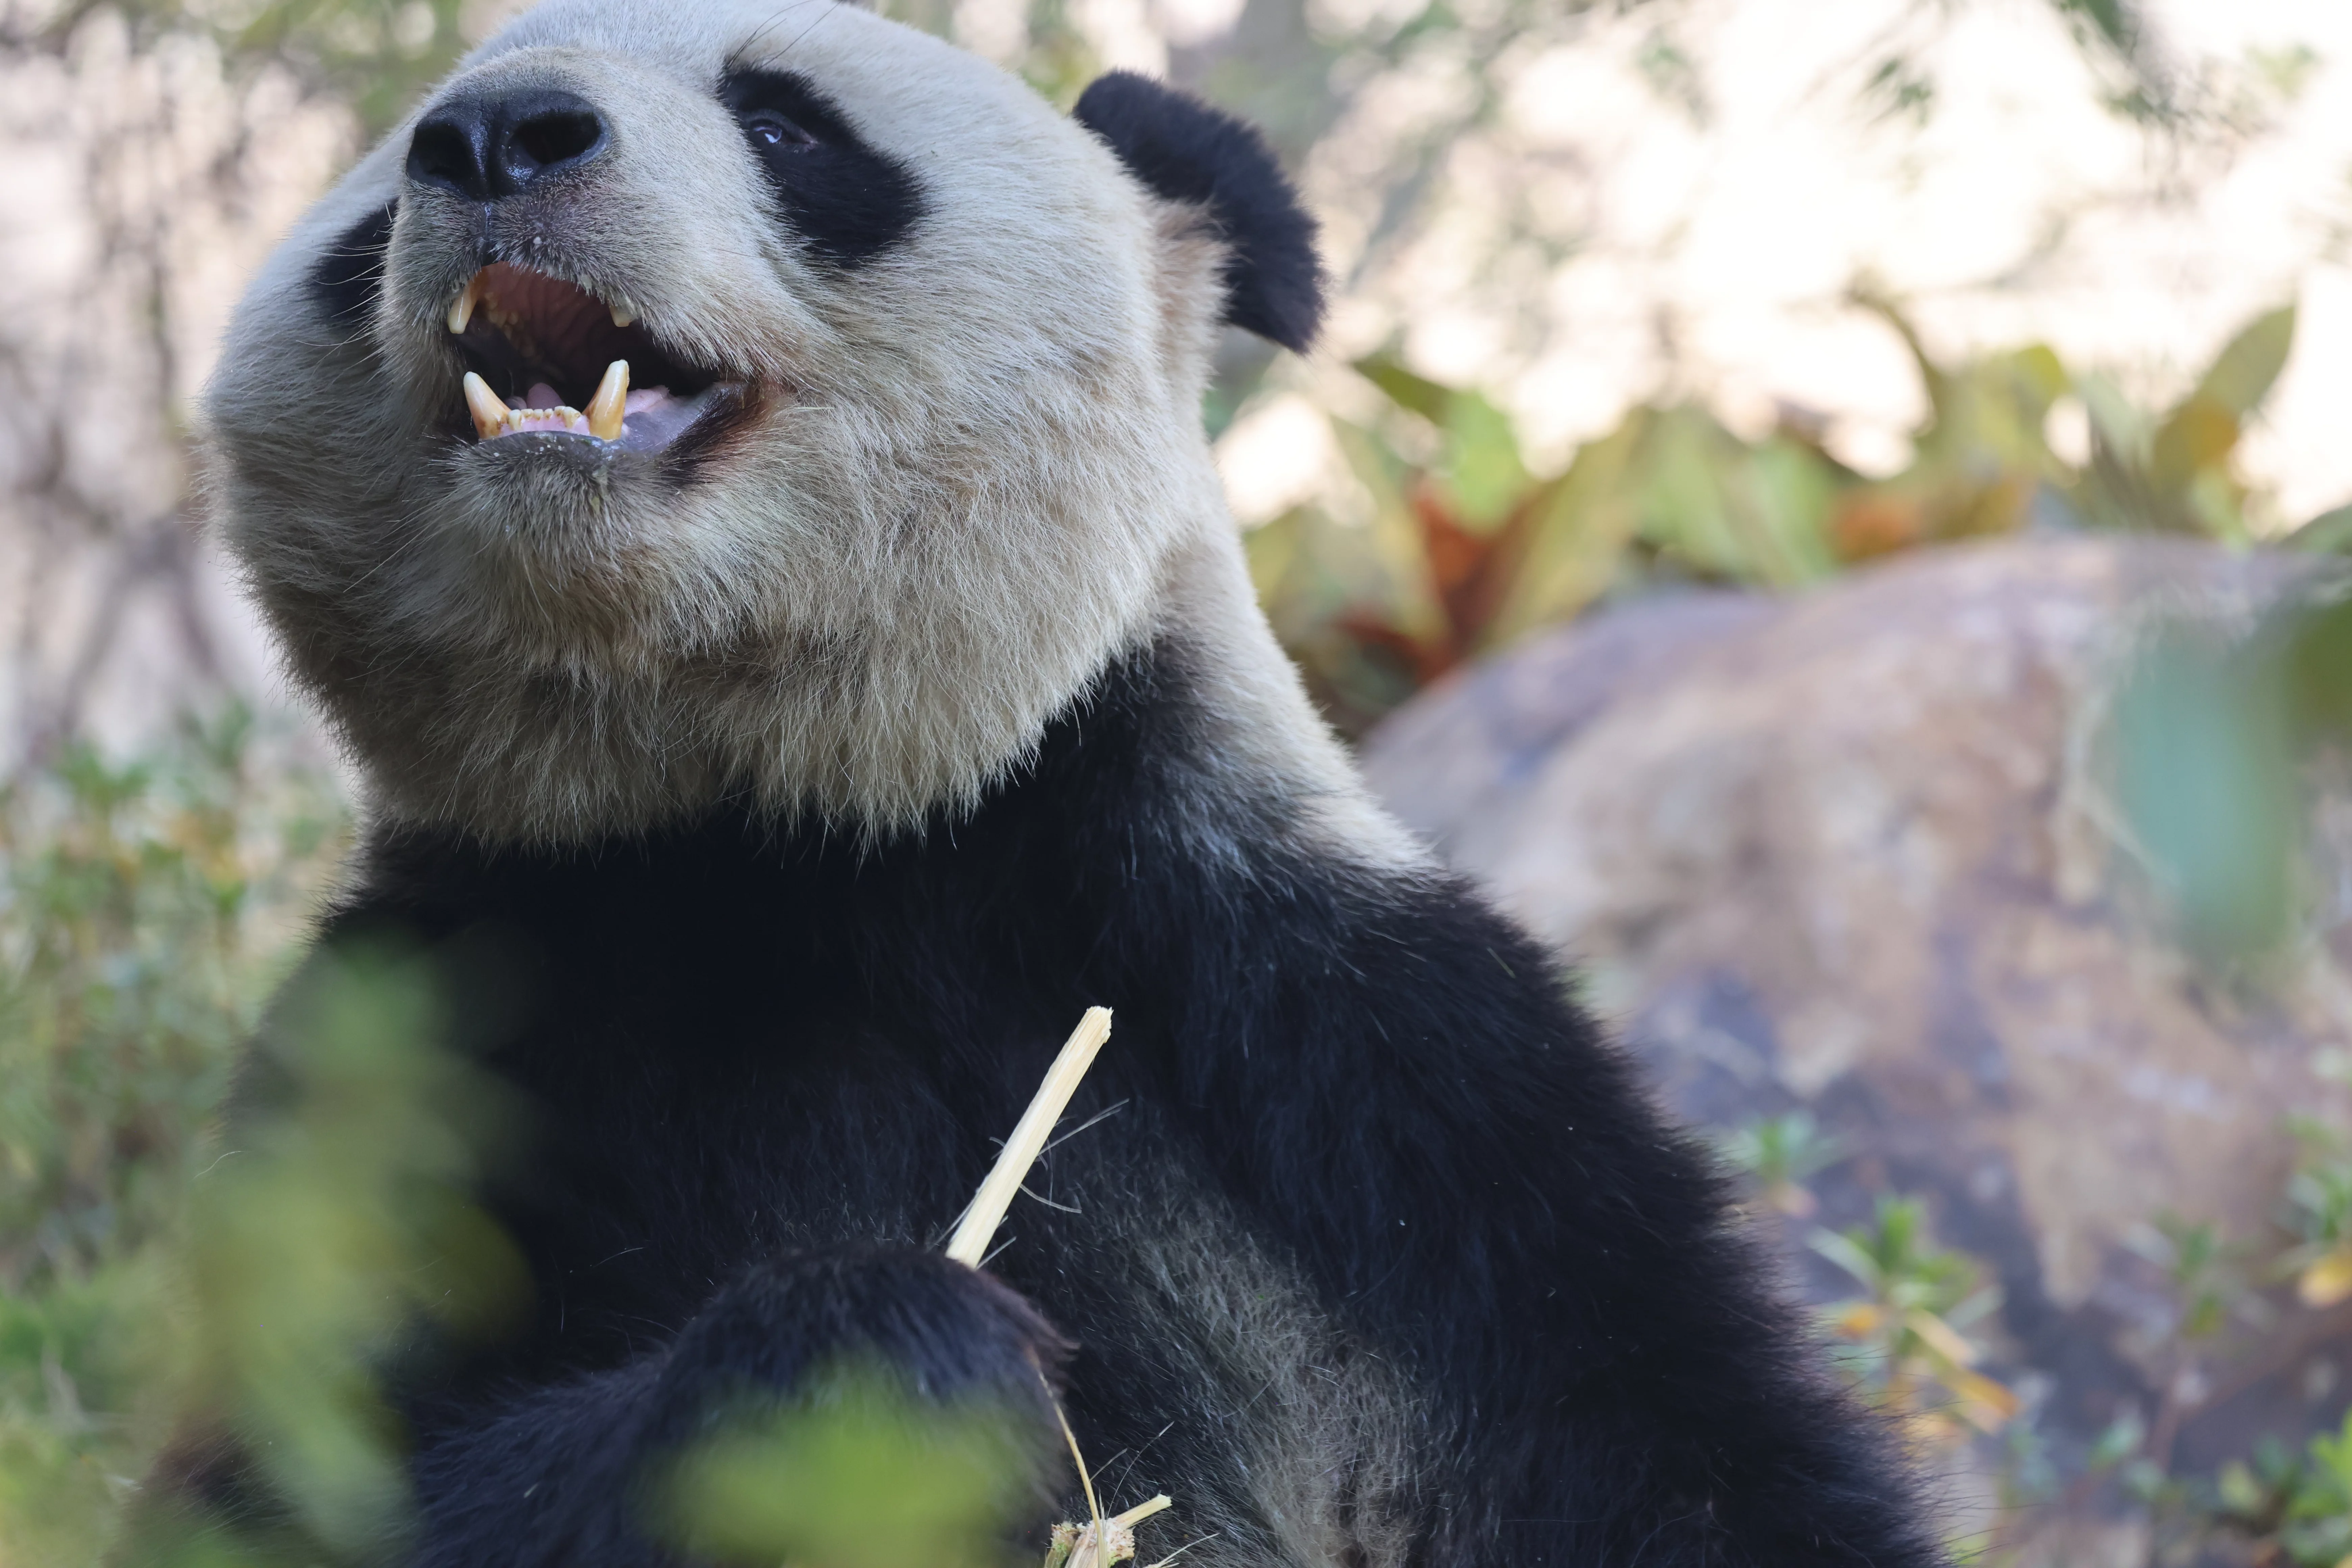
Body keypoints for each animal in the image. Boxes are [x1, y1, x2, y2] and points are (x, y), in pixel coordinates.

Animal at [169, 0, 1943, 1562]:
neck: (788, 828)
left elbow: (1677, 1456)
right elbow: (286, 1489)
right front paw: (884, 1369)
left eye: (785, 123)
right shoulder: (442, 1029)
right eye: (386, 190)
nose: (496, 136)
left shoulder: (1370, 1068)